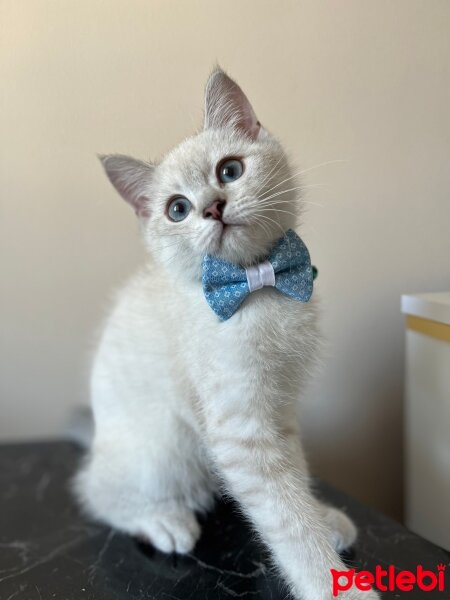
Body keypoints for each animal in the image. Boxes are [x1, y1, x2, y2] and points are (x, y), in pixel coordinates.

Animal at [74, 68, 380, 596]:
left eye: (230, 171)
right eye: (177, 209)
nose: (213, 207)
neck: (259, 284)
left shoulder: (280, 410)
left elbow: (295, 478)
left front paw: (321, 518)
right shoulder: (241, 429)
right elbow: (285, 516)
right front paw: (331, 581)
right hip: (160, 446)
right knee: (98, 492)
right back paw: (163, 520)